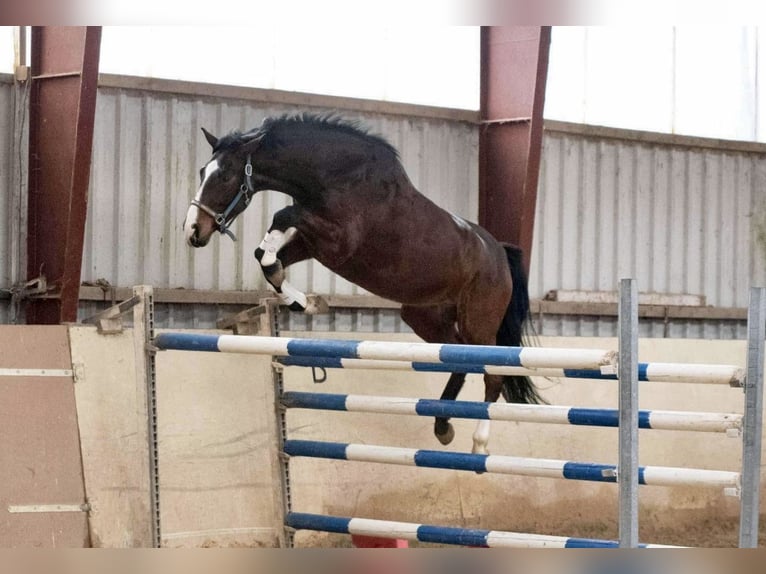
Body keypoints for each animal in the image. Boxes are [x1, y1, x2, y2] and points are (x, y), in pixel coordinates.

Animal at [182, 113, 544, 454]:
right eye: (202, 172)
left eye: (225, 175)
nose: (193, 231)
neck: (337, 176)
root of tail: (498, 251)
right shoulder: (315, 245)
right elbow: (268, 255)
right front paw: (307, 302)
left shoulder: (337, 242)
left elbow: (282, 217)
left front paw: (304, 297)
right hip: (424, 317)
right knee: (459, 360)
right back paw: (442, 426)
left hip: (478, 322)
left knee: (492, 372)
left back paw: (478, 443)